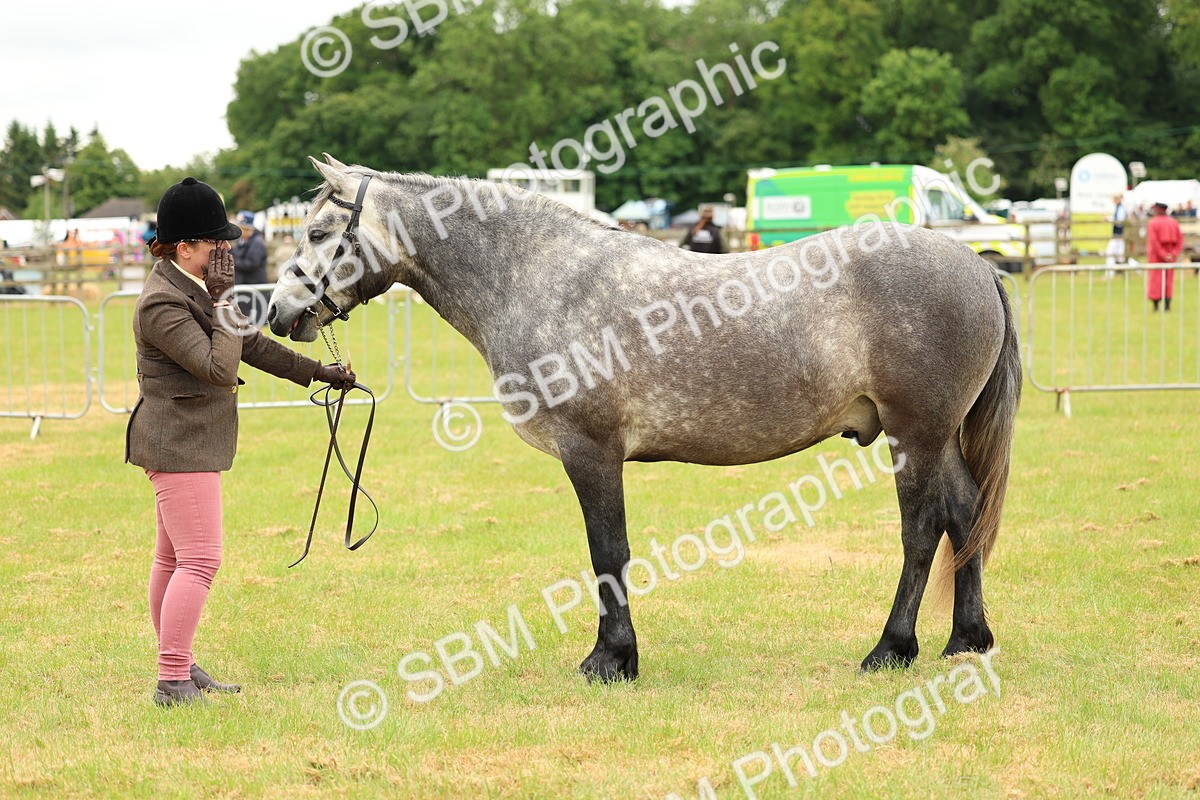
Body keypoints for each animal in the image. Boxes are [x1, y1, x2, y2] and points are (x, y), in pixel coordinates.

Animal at [267, 155, 1021, 680]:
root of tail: (976, 265)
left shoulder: (591, 451)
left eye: (318, 230)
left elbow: (608, 553)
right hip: (938, 437)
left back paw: (891, 649)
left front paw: (611, 660)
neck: (544, 278)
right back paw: (966, 640)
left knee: (923, 529)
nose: (277, 312)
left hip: (914, 434)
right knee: (965, 513)